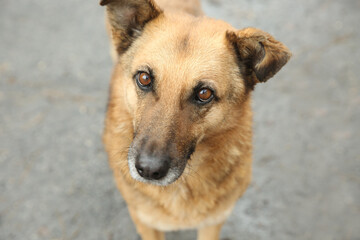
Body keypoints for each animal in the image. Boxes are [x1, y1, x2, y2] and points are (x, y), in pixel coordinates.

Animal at [100, 0, 292, 240]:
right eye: (144, 78)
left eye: (204, 93)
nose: (149, 170)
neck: (183, 183)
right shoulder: (146, 223)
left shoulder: (213, 223)